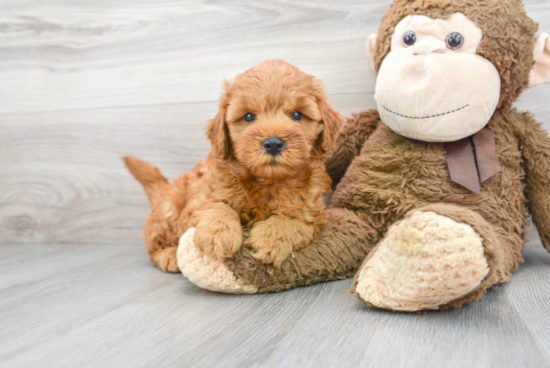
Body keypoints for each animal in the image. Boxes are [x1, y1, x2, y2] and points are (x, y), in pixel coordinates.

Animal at [125, 59, 344, 272]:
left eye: (297, 115)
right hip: (169, 209)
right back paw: (168, 255)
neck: (267, 182)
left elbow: (294, 219)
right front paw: (217, 234)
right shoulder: (202, 196)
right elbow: (217, 206)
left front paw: (271, 238)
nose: (273, 143)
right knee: (153, 243)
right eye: (248, 117)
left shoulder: (312, 210)